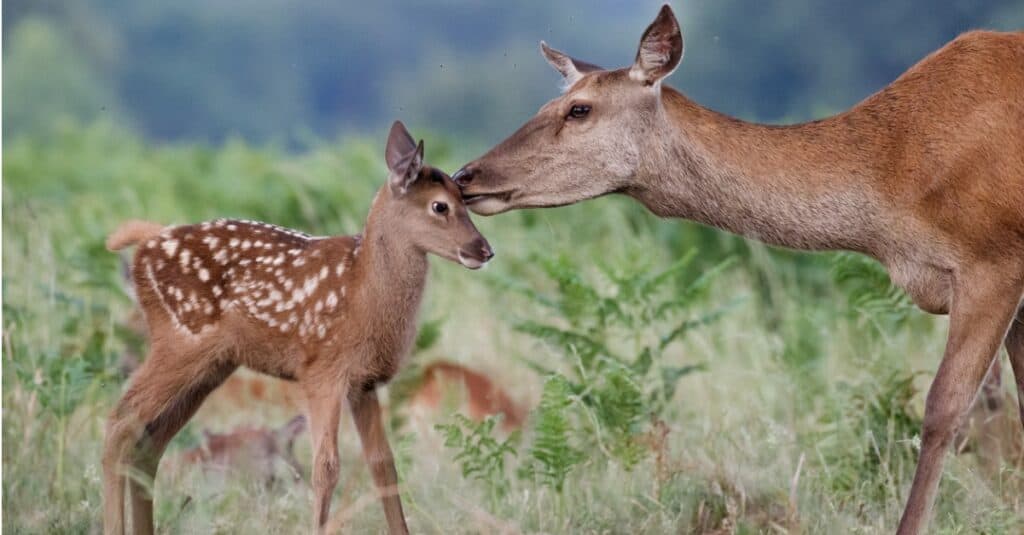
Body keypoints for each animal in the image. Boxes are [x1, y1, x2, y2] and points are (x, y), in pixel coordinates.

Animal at [101, 120, 493, 532]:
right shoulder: (322, 371)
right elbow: (327, 467)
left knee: (148, 442)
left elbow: (383, 466)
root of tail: (145, 244)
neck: (363, 292)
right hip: (180, 341)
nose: (483, 249)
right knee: (120, 423)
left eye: (465, 199)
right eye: (440, 205)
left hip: (211, 365)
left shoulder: (363, 383)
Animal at [456, 5, 1024, 532]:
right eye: (547, 103)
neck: (895, 187)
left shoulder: (991, 262)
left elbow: (944, 409)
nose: (466, 176)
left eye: (579, 108)